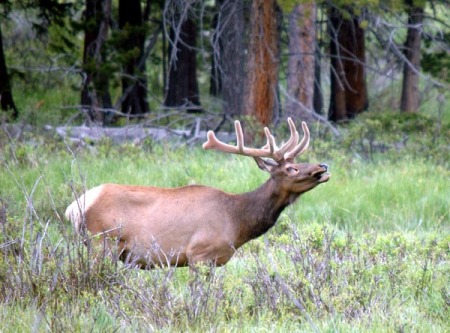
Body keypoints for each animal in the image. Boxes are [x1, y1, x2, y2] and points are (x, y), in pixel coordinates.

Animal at [65, 117, 328, 268]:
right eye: (291, 168)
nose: (323, 167)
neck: (237, 222)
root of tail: (74, 207)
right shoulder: (199, 254)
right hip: (102, 242)